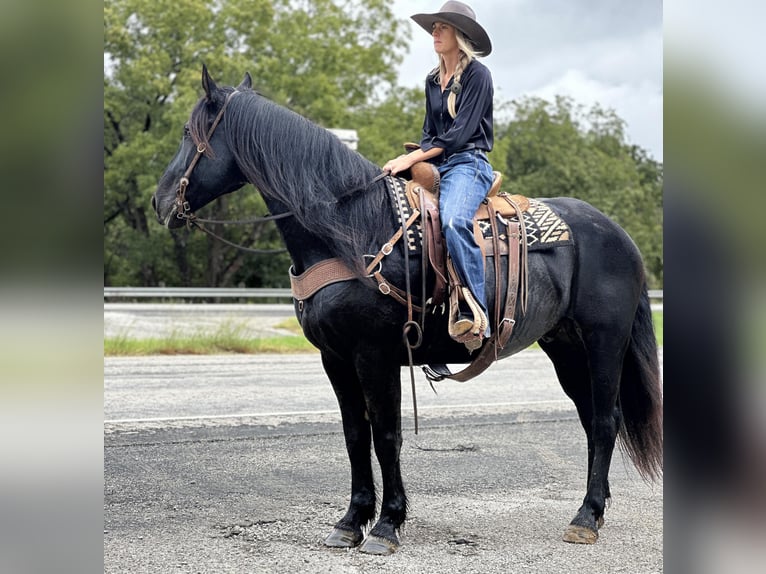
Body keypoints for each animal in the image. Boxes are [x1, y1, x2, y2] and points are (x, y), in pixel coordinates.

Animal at [153, 68, 664, 560]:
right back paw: (595, 508)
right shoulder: (335, 358)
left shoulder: (376, 355)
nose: (160, 203)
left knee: (605, 420)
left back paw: (585, 517)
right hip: (565, 347)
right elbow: (355, 436)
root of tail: (618, 233)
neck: (350, 229)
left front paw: (386, 525)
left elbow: (386, 435)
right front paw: (350, 523)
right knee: (593, 419)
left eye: (187, 132)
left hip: (604, 341)